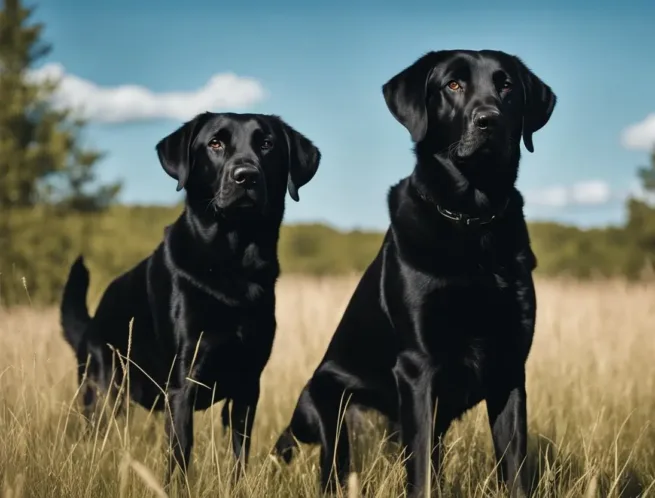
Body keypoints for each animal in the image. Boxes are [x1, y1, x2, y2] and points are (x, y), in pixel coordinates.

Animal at [60, 112, 322, 482]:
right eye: (215, 143)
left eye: (267, 144)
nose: (246, 175)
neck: (233, 263)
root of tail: (92, 322)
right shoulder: (182, 383)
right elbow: (181, 453)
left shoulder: (248, 383)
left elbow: (240, 451)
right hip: (102, 391)